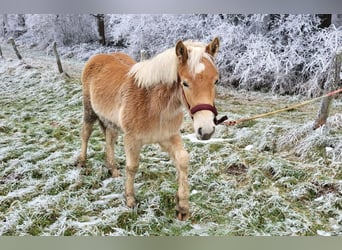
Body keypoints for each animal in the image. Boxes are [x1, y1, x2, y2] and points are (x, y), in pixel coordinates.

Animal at [76, 36, 224, 219]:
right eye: (185, 83)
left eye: (216, 81)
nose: (206, 130)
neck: (153, 103)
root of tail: (97, 57)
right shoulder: (132, 139)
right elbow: (132, 167)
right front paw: (130, 200)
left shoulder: (168, 136)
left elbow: (182, 160)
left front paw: (182, 206)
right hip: (89, 111)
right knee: (86, 134)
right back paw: (82, 162)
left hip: (111, 122)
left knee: (109, 140)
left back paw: (113, 169)